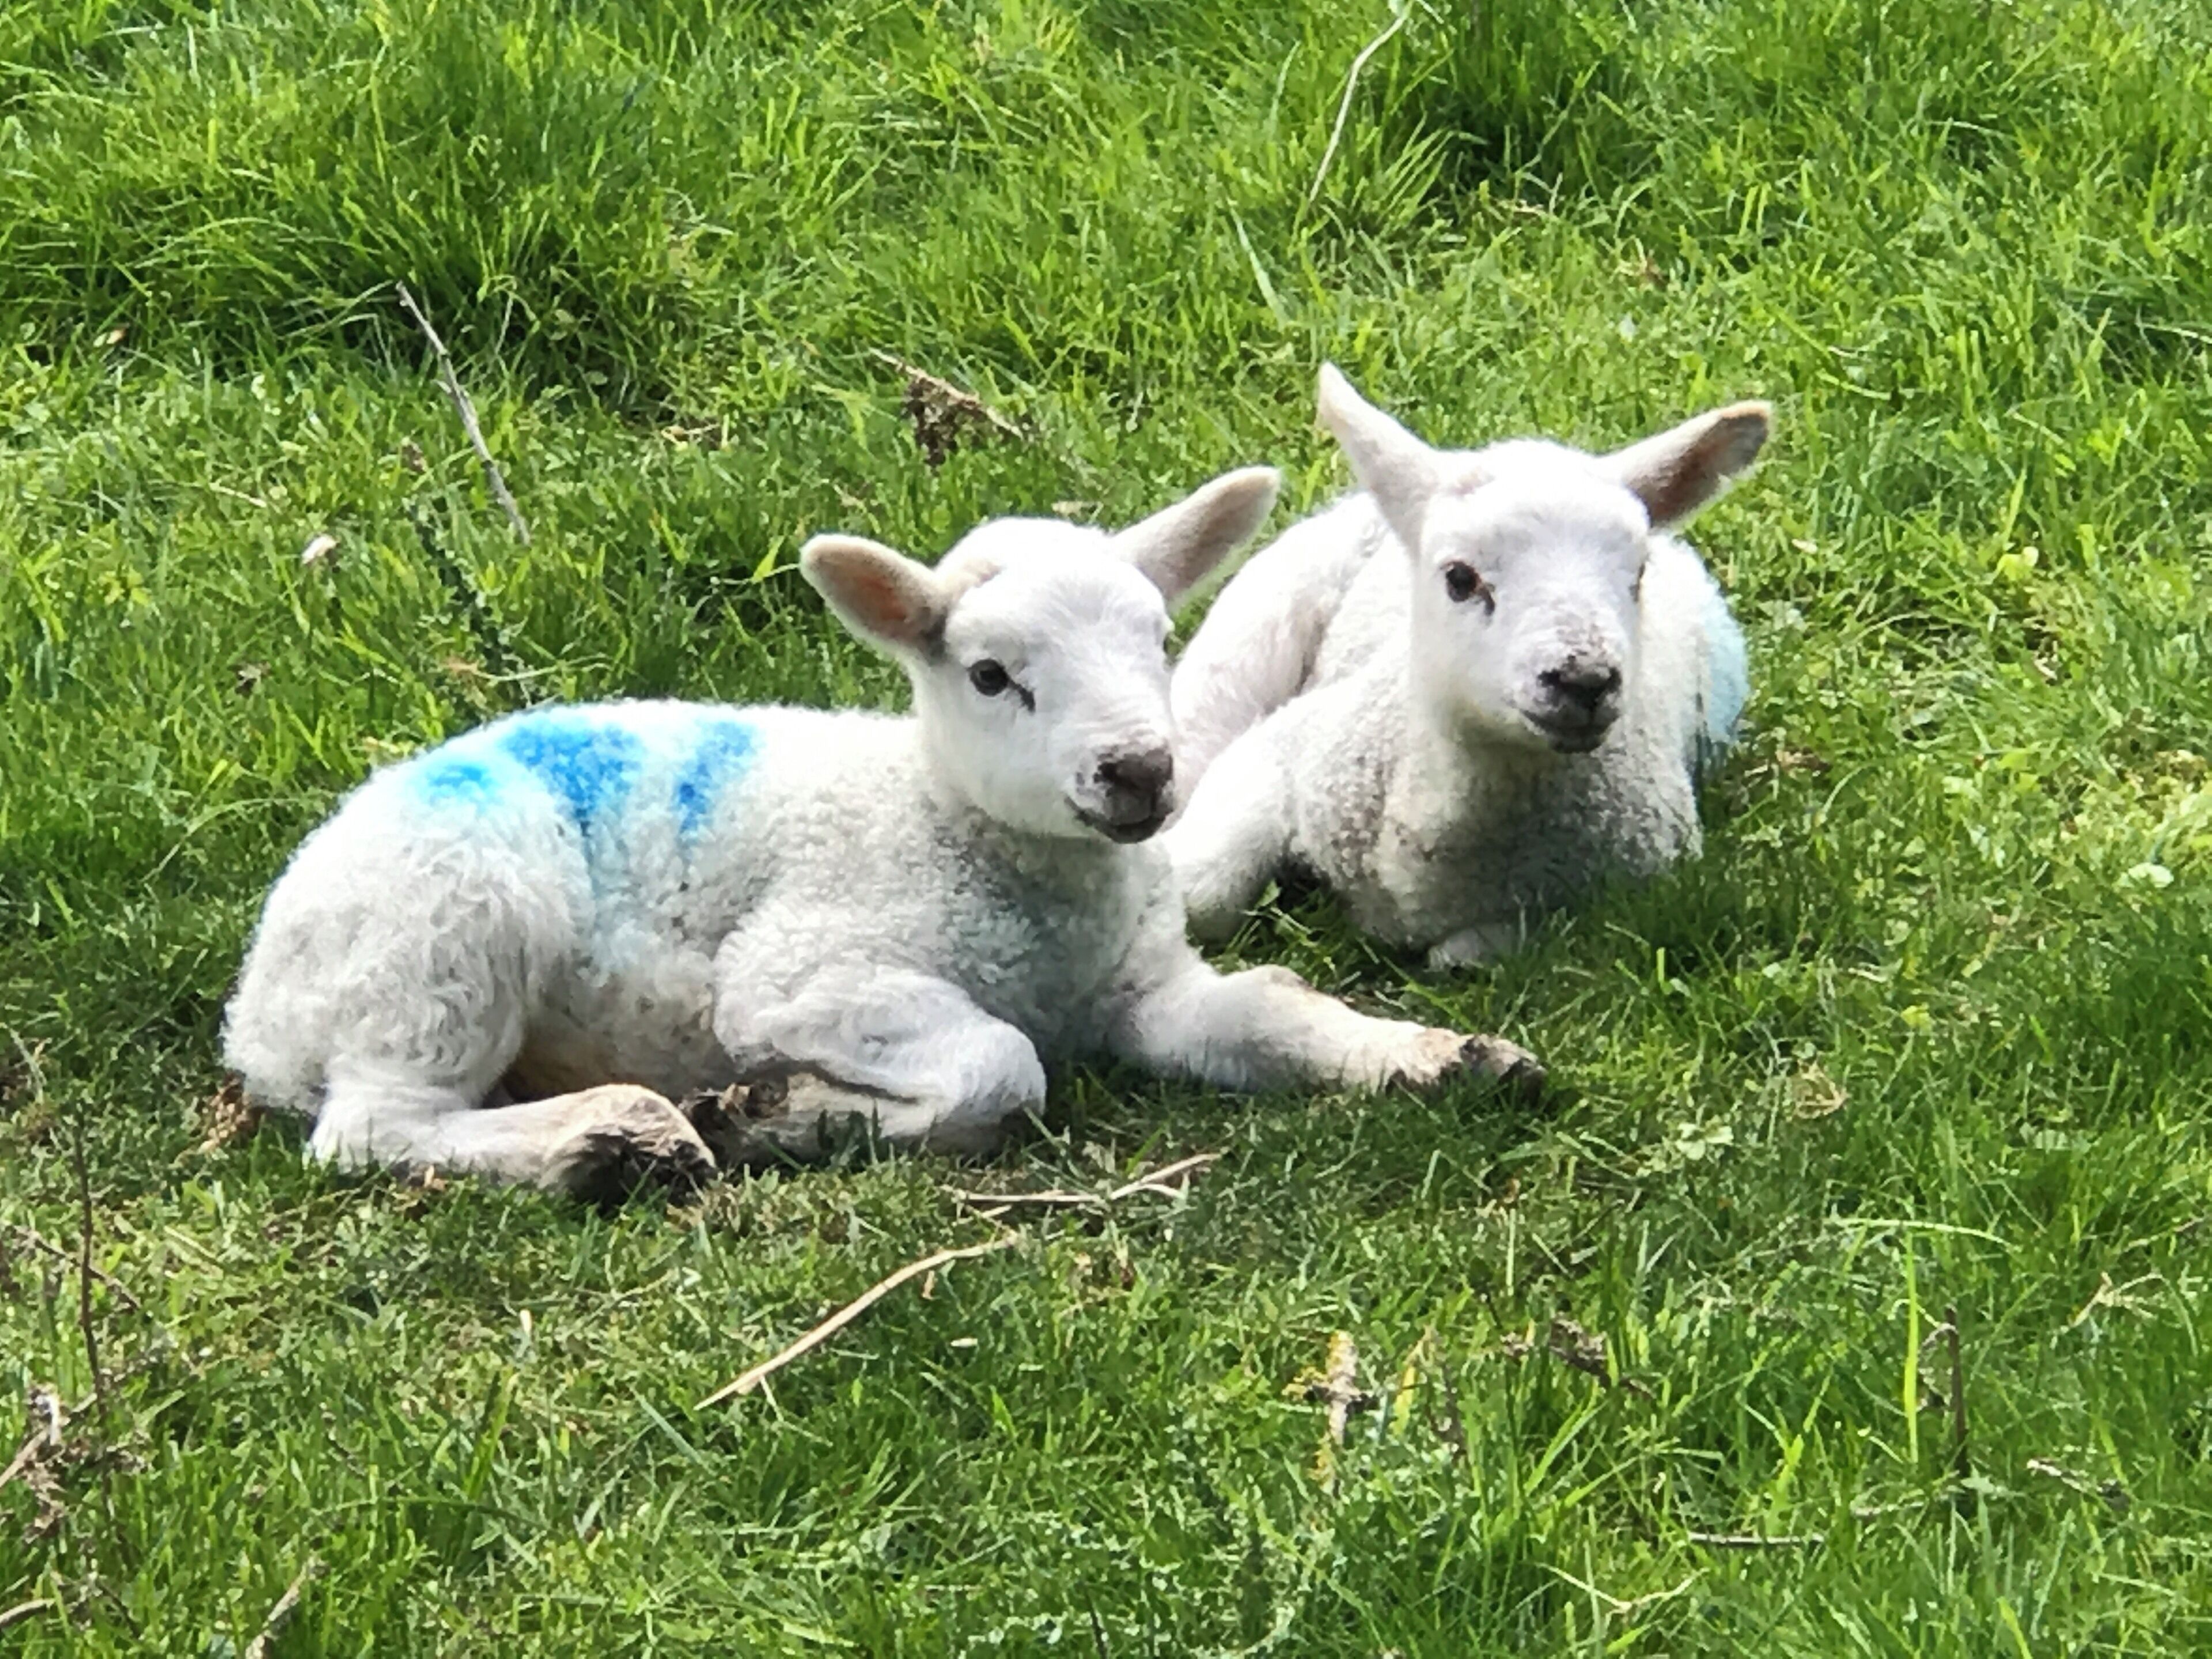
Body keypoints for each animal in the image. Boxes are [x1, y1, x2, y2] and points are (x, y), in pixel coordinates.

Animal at [223, 467, 1543, 1203]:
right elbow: (1002, 1066)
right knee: (374, 1128)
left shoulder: (1145, 990)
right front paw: (793, 1116)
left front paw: (1444, 1057)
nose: (1138, 773)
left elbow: (1271, 1013)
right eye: (993, 675)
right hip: (444, 935)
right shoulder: (802, 975)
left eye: (1159, 639)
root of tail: (260, 1007)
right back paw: (605, 1144)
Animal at [1165, 366, 1768, 968]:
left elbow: (1460, 956)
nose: (1585, 682)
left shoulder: (1640, 891)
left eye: (1639, 573)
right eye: (1460, 578)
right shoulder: (1285, 744)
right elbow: (1202, 898)